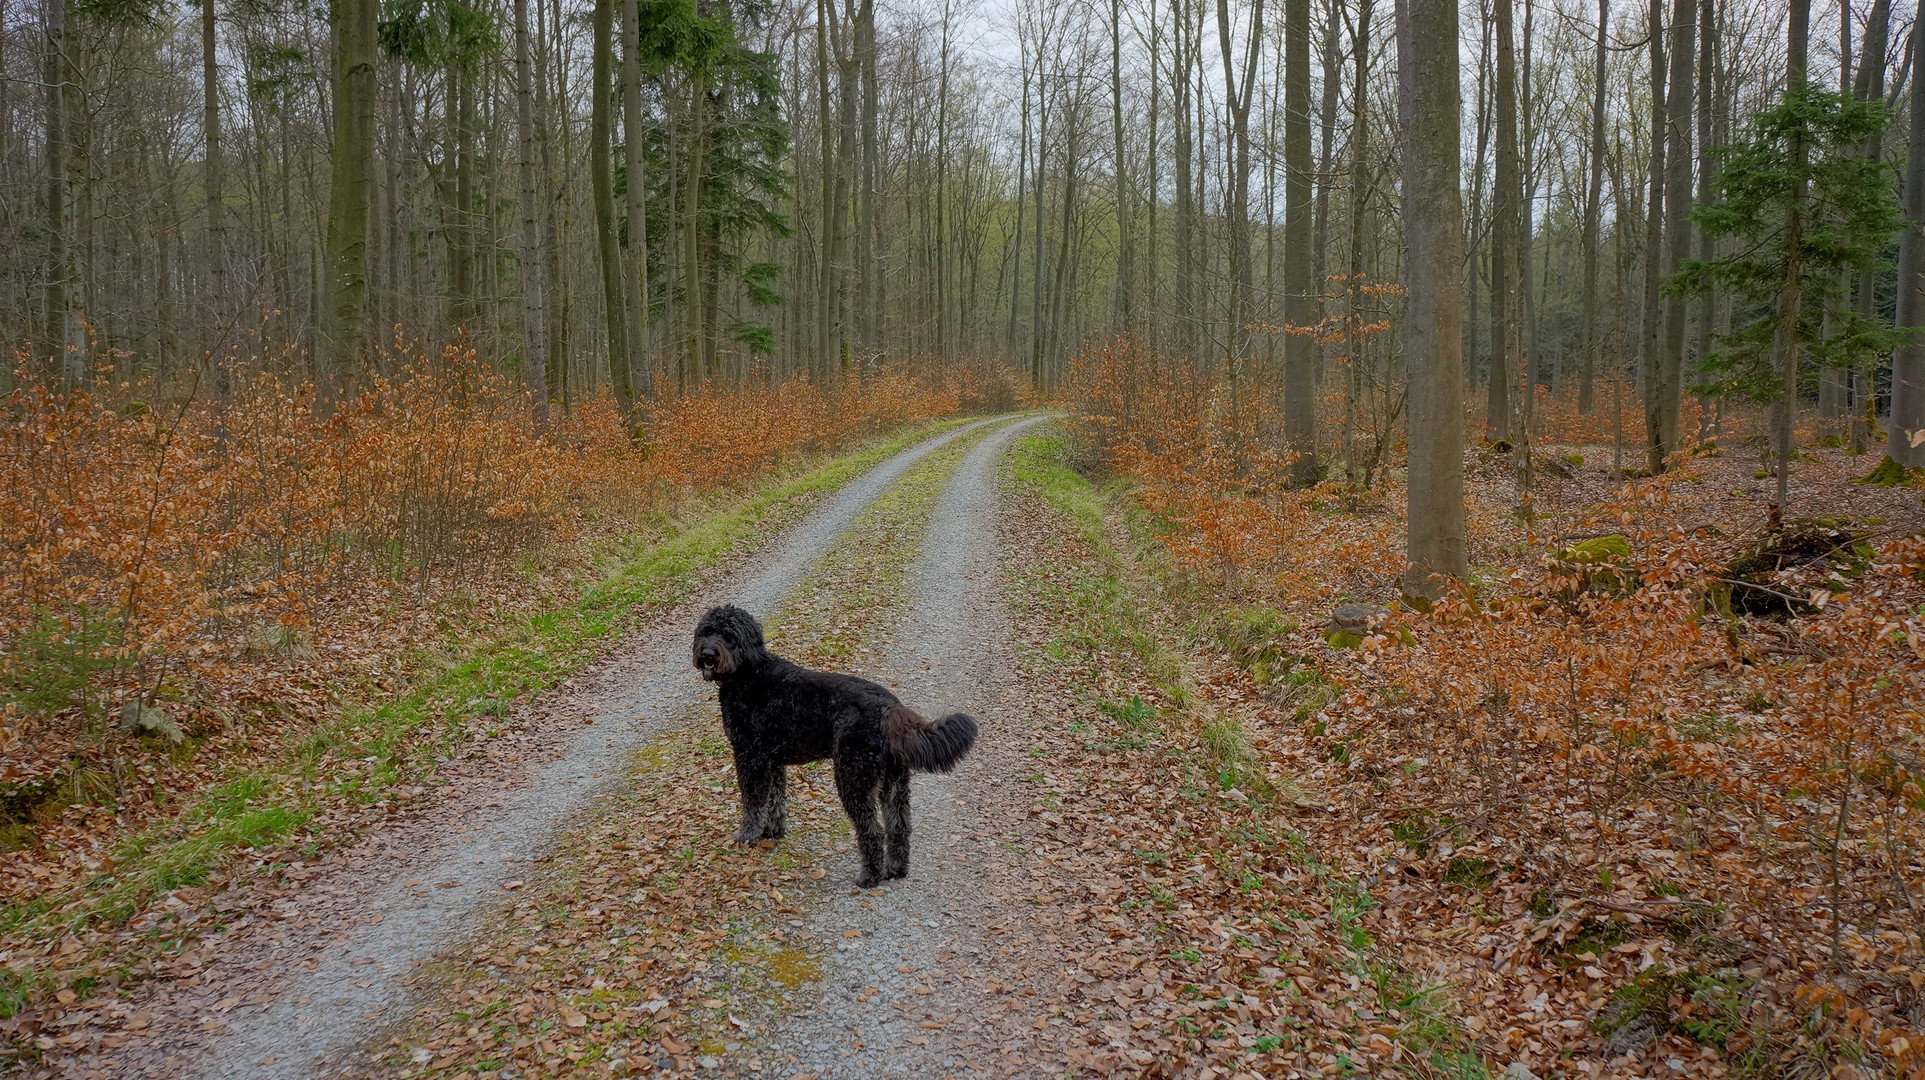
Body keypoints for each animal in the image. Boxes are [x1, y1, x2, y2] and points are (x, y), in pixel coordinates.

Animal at [693, 608, 977, 885]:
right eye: (707, 631)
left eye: (729, 636)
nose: (707, 654)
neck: (748, 673)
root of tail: (889, 708)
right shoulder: (772, 762)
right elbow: (774, 799)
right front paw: (771, 831)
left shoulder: (750, 756)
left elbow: (753, 800)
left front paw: (747, 834)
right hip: (893, 782)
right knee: (899, 826)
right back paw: (895, 869)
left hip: (854, 776)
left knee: (873, 830)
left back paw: (869, 876)